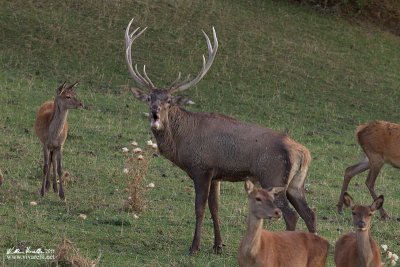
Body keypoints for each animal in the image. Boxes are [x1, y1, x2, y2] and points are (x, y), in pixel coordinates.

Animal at [126, 19, 318, 255]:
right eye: (149, 98)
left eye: (169, 101)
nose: (155, 113)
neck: (182, 142)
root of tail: (304, 153)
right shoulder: (216, 174)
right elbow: (215, 208)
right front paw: (218, 245)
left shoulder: (201, 168)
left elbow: (199, 208)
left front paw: (194, 247)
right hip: (296, 185)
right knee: (310, 214)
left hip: (273, 177)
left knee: (290, 215)